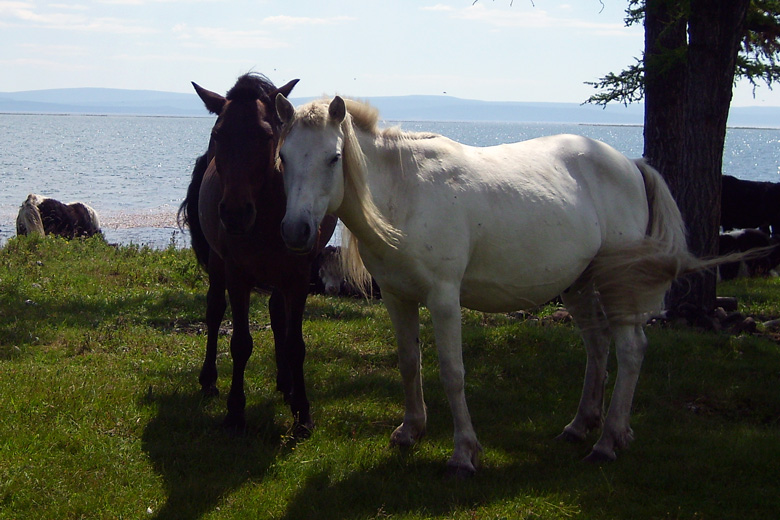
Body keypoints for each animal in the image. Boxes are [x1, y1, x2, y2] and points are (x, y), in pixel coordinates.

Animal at [177, 72, 336, 430]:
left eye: (266, 135)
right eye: (218, 134)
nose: (236, 213)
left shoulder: (298, 275)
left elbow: (295, 343)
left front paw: (302, 411)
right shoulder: (237, 274)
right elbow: (240, 342)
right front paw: (236, 411)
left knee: (277, 315)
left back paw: (286, 383)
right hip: (217, 263)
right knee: (214, 310)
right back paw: (209, 379)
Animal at [278, 93, 724, 476]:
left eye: (334, 157)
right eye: (283, 157)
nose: (296, 231)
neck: (405, 193)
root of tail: (630, 164)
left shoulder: (443, 298)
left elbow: (452, 372)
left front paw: (463, 453)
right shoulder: (396, 297)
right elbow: (409, 362)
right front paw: (410, 431)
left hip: (618, 283)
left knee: (630, 351)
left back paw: (608, 442)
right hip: (579, 284)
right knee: (597, 346)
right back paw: (581, 426)